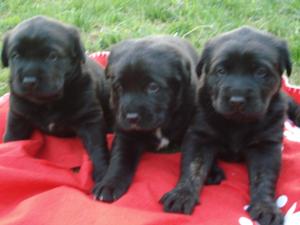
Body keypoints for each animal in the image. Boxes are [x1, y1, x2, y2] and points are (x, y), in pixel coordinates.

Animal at [1, 15, 111, 192]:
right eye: (15, 55)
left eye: (52, 56)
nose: (29, 81)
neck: (48, 102)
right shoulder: (18, 114)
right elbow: (12, 139)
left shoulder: (90, 119)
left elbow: (97, 147)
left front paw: (103, 174)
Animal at [94, 36, 199, 201]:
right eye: (119, 87)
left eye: (153, 87)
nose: (131, 117)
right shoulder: (126, 135)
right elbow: (120, 160)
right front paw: (109, 185)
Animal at [162, 26, 292, 225]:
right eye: (221, 71)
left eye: (261, 72)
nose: (237, 100)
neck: (237, 122)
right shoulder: (199, 136)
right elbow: (193, 167)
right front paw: (182, 195)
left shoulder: (267, 146)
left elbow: (264, 177)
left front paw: (266, 206)